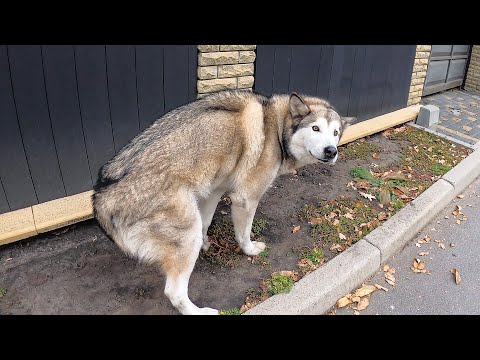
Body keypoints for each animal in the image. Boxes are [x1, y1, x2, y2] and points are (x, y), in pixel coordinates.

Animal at [94, 90, 354, 316]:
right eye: (315, 128)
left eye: (335, 133)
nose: (331, 151)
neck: (277, 127)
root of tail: (102, 197)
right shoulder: (245, 199)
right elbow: (244, 234)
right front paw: (249, 250)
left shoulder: (214, 192)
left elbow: (207, 222)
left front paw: (206, 244)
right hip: (186, 234)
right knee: (174, 293)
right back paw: (199, 312)